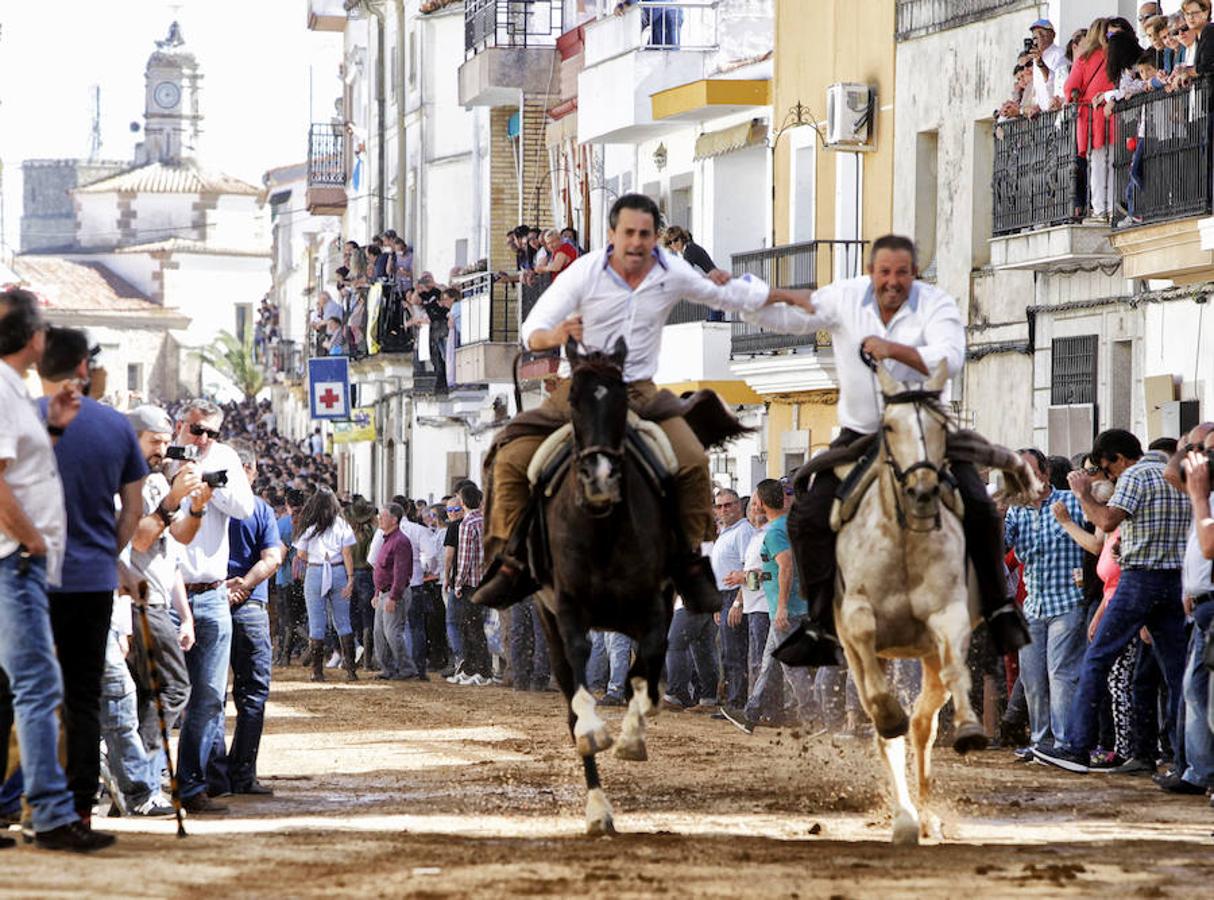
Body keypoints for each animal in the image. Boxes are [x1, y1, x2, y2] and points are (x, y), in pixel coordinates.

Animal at [536, 337, 679, 835]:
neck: (603, 528)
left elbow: (646, 666)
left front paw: (634, 734)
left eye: (620, 399)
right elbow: (582, 666)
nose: (599, 478)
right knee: (568, 696)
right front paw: (593, 730)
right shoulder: (568, 608)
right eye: (574, 401)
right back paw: (598, 807)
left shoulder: (656, 604)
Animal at [840, 359, 1039, 840]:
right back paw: (905, 815)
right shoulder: (855, 617)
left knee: (923, 724)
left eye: (940, 427)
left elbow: (953, 670)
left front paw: (969, 729)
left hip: (926, 656)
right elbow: (866, 640)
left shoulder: (948, 616)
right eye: (888, 426)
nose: (922, 490)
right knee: (889, 724)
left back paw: (926, 811)